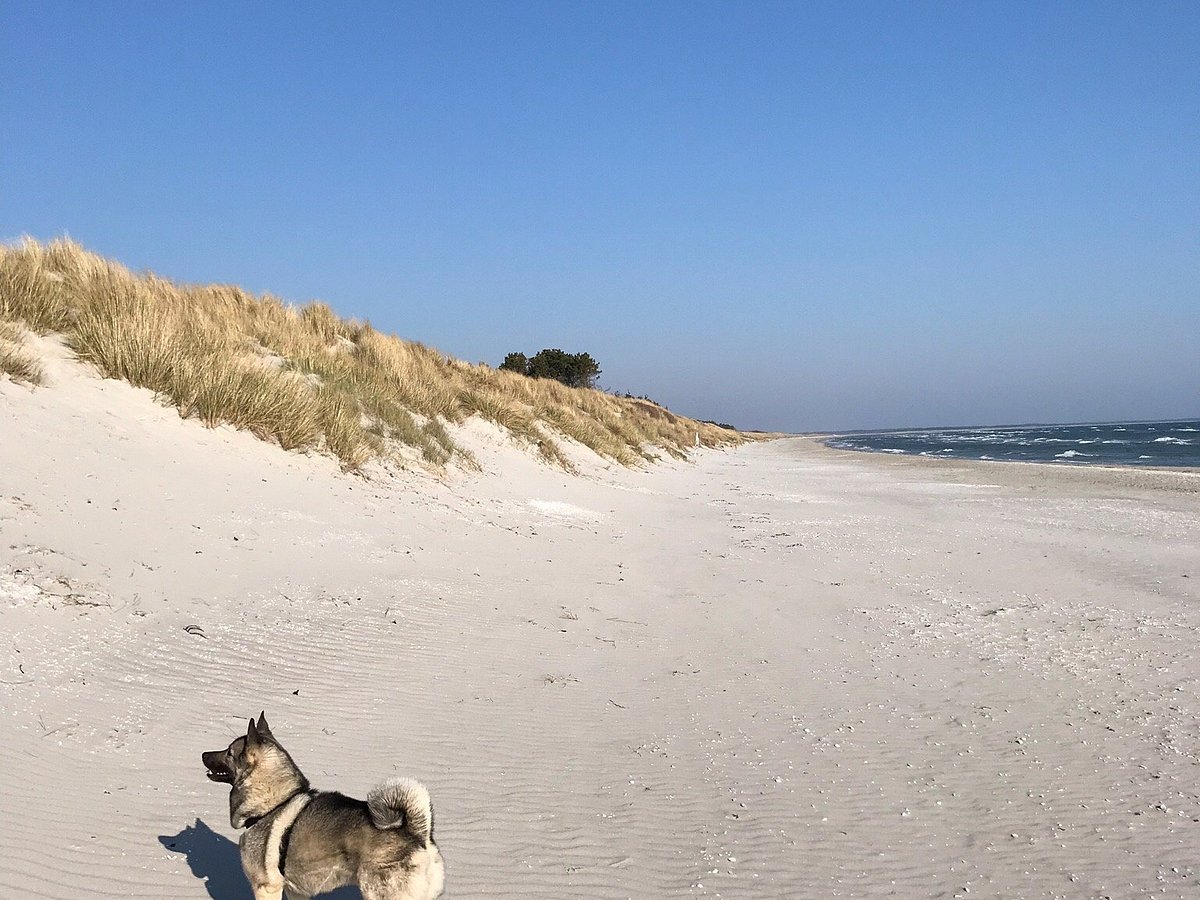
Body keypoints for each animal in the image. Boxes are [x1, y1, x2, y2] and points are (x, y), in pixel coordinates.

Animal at [201, 715, 446, 897]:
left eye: (229, 752)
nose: (203, 754)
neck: (273, 804)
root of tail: (418, 835)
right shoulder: (295, 891)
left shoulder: (266, 887)